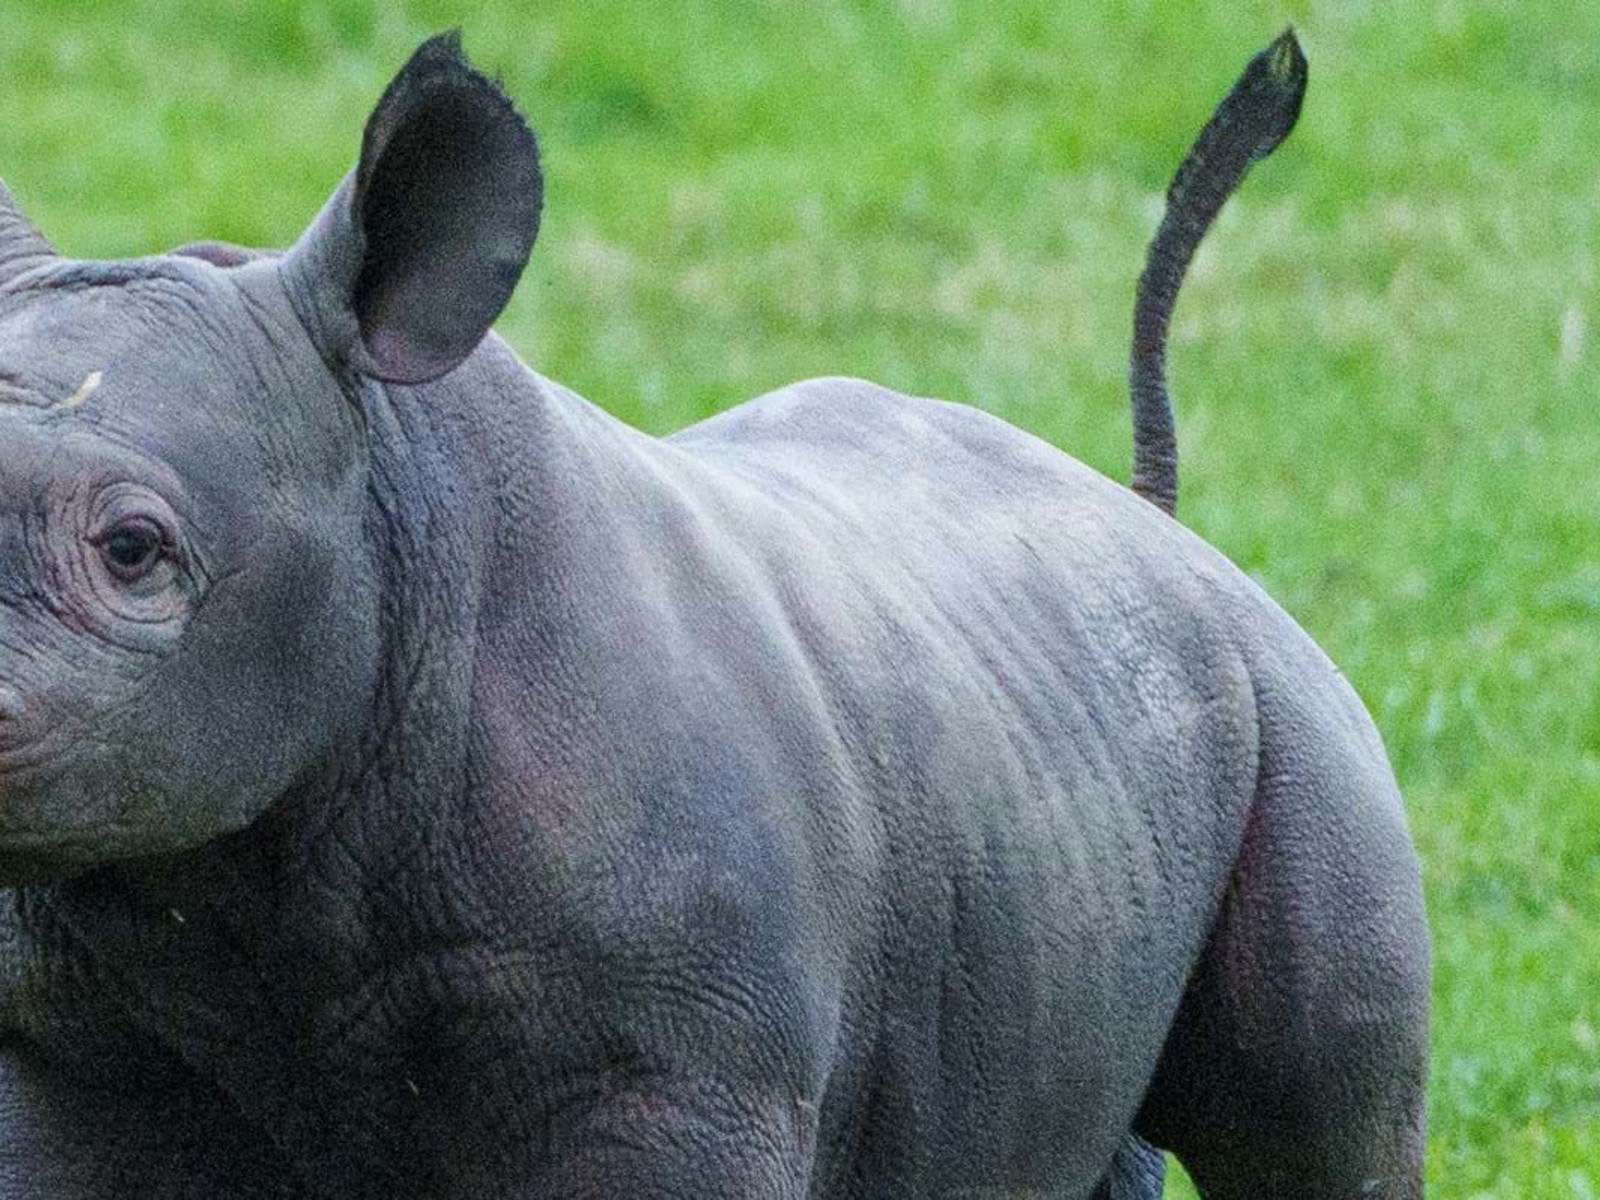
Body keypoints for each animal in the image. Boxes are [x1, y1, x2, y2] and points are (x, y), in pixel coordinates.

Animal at [0, 28, 1427, 1200]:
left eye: (133, 550)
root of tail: (1165, 532)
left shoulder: (676, 1073)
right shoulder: (70, 1045)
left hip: (1293, 717)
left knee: (1312, 1130)